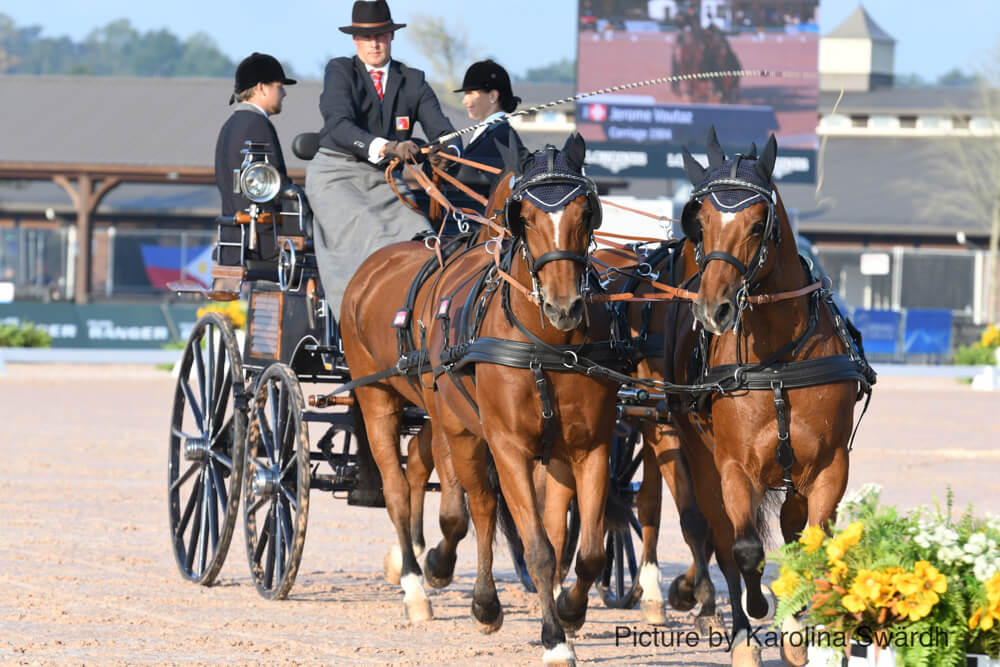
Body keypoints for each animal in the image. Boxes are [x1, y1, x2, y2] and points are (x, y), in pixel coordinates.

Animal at [348, 133, 620, 664]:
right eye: (525, 216)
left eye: (585, 212)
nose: (563, 306)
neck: (545, 346)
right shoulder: (506, 446)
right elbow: (535, 546)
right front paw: (554, 640)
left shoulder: (591, 447)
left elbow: (589, 550)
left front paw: (570, 611)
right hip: (390, 402)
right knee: (425, 494)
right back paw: (431, 586)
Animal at [668, 129, 872, 664]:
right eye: (700, 224)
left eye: (759, 224)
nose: (713, 309)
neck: (777, 362)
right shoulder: (735, 468)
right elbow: (744, 551)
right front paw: (760, 609)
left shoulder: (827, 467)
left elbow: (814, 547)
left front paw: (807, 632)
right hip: (702, 462)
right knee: (723, 541)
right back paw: (743, 630)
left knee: (790, 527)